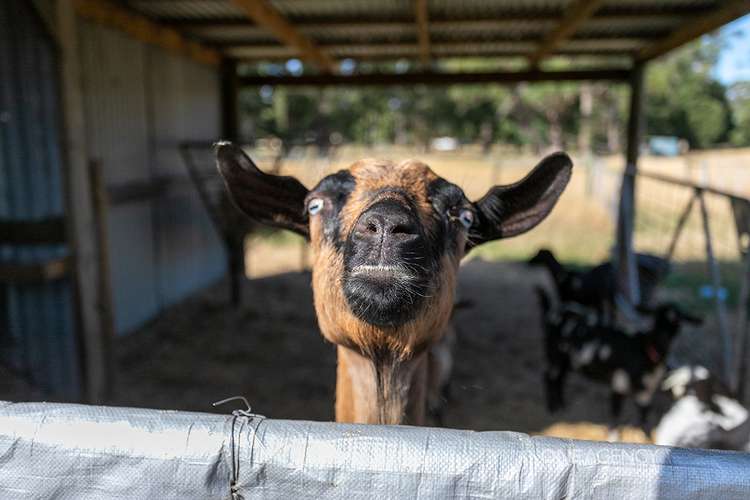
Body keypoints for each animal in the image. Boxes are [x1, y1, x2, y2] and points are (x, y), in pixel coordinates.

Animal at [536, 288, 704, 436]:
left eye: (678, 323)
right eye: (655, 319)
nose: (662, 341)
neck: (644, 350)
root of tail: (556, 310)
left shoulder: (646, 393)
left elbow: (644, 417)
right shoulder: (618, 384)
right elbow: (615, 417)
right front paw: (613, 436)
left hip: (567, 359)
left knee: (559, 379)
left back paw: (561, 404)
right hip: (554, 353)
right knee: (549, 377)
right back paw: (552, 407)